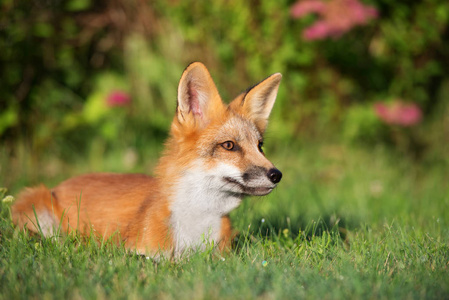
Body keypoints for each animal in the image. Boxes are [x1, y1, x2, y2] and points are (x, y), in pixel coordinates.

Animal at [12, 61, 282, 258]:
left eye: (260, 146)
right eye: (229, 145)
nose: (276, 175)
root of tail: (64, 183)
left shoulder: (222, 255)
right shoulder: (142, 253)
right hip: (39, 209)